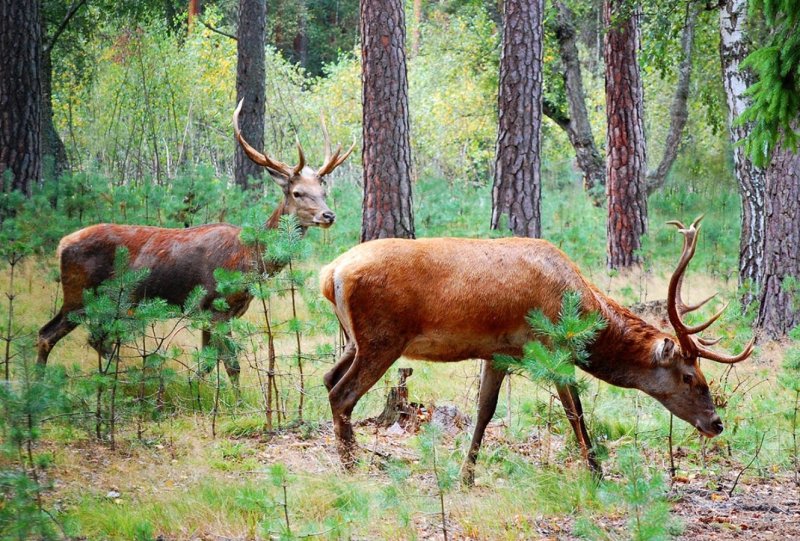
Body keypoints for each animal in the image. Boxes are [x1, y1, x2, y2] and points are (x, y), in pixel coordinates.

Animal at [37, 99, 356, 386]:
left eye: (322, 191)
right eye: (298, 193)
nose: (328, 215)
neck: (249, 258)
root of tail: (62, 244)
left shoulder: (214, 312)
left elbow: (208, 363)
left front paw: (197, 391)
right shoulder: (216, 307)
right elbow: (231, 364)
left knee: (78, 336)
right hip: (79, 293)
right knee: (51, 335)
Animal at [318, 217, 752, 484]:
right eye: (690, 377)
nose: (717, 423)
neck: (579, 302)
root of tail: (330, 273)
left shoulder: (497, 352)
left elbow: (485, 411)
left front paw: (467, 475)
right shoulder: (553, 347)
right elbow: (575, 411)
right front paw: (596, 473)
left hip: (355, 339)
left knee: (327, 378)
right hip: (383, 338)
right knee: (343, 393)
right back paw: (351, 464)